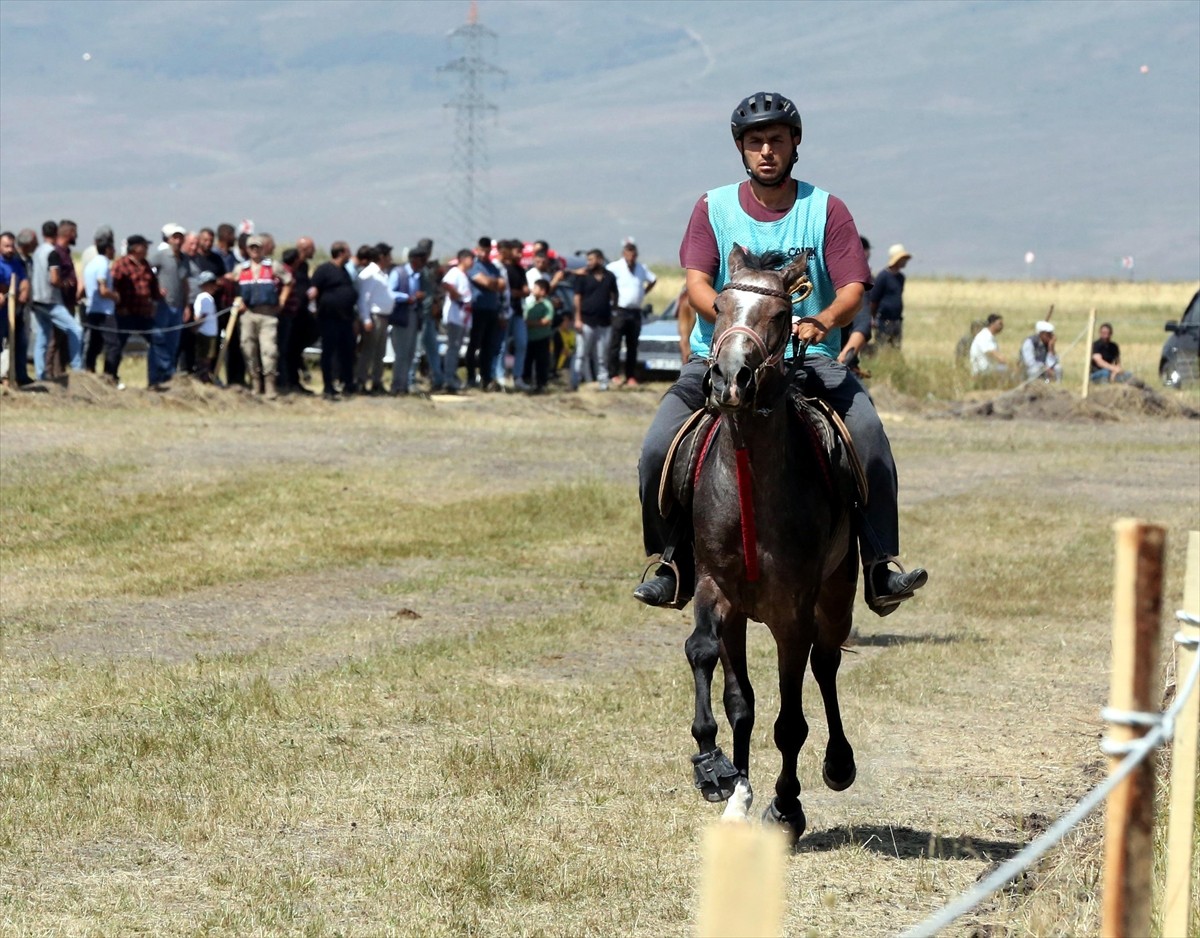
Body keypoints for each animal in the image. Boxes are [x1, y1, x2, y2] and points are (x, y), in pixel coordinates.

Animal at [681, 242, 859, 844]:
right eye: (718, 305)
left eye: (782, 315)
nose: (729, 379)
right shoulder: (717, 590)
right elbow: (716, 671)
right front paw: (718, 773)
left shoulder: (792, 614)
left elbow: (790, 722)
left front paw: (786, 807)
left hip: (837, 595)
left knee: (826, 667)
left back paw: (839, 764)